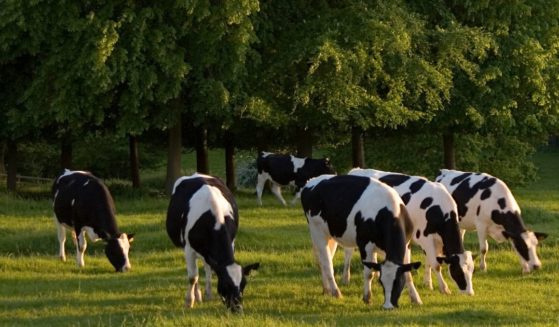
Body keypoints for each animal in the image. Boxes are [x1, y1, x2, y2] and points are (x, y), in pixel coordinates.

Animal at [166, 173, 260, 314]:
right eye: (226, 284)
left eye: (244, 284)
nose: (237, 309)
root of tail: (196, 174)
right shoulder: (188, 248)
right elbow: (192, 277)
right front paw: (189, 301)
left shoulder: (231, 242)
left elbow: (208, 269)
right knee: (196, 272)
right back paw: (197, 295)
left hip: (206, 253)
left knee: (207, 266)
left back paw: (207, 293)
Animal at [300, 174, 422, 310]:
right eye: (381, 282)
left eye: (398, 282)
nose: (388, 306)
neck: (389, 212)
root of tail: (312, 181)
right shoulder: (365, 244)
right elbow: (369, 273)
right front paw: (367, 298)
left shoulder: (406, 244)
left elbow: (408, 273)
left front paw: (416, 299)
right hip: (317, 231)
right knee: (327, 263)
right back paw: (336, 292)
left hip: (330, 235)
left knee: (323, 260)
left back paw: (326, 289)